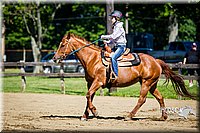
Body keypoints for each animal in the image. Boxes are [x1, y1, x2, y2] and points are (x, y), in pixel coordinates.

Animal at [53, 32, 195, 121]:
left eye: (63, 44)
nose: (55, 58)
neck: (93, 58)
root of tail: (156, 60)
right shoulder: (90, 82)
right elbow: (89, 97)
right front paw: (85, 116)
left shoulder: (98, 82)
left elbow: (88, 95)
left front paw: (95, 112)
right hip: (152, 84)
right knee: (160, 97)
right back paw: (163, 117)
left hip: (146, 83)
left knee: (142, 99)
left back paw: (129, 116)